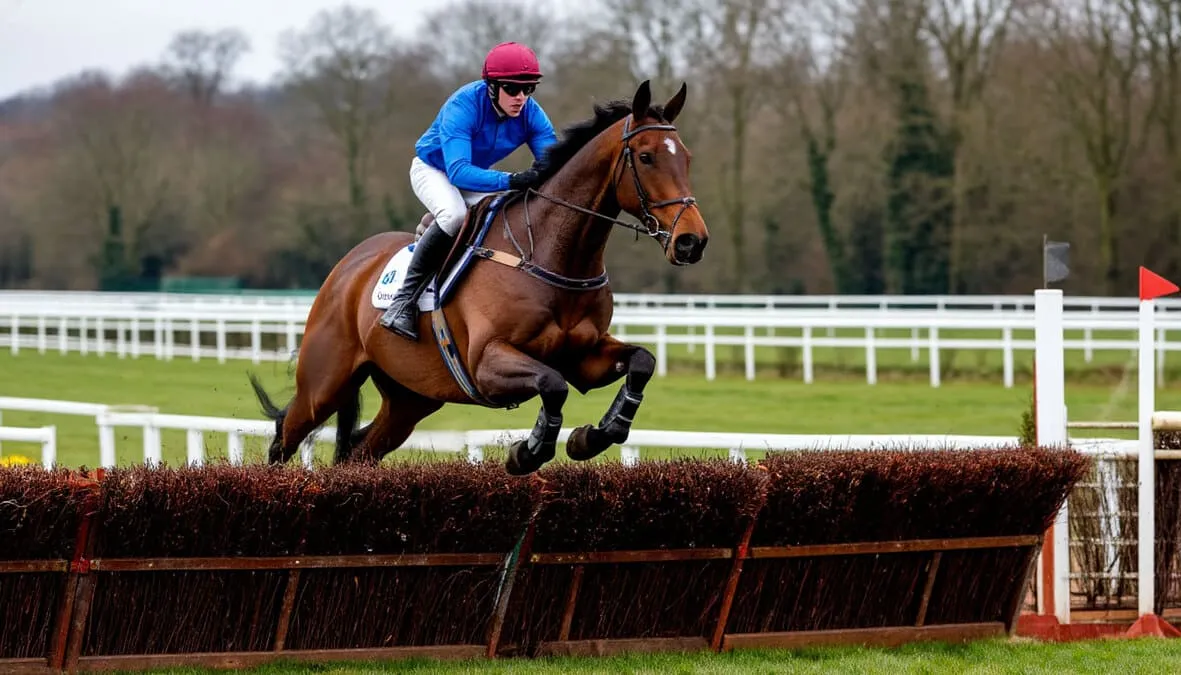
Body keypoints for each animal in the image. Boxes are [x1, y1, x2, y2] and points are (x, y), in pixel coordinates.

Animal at [248, 80, 709, 476]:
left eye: (687, 157)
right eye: (646, 157)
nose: (691, 242)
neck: (550, 254)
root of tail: (347, 269)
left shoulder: (584, 357)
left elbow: (641, 362)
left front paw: (593, 436)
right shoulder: (487, 361)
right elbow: (552, 384)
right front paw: (529, 451)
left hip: (409, 398)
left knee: (359, 451)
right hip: (324, 382)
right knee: (285, 437)